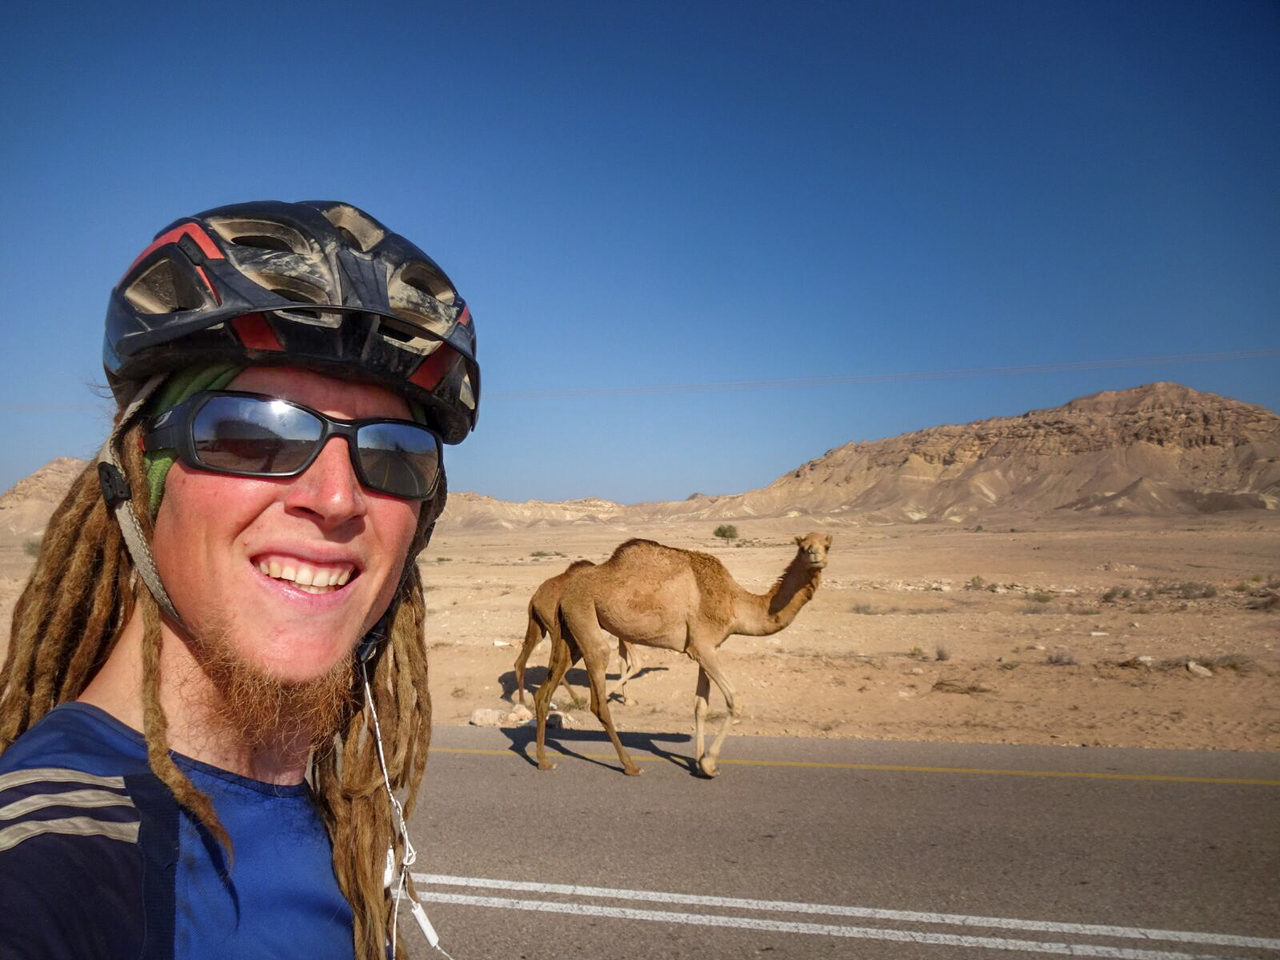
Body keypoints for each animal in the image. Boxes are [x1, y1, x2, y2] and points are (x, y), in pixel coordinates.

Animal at [514, 560, 645, 711]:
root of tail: (534, 599)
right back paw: (578, 699)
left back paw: (522, 701)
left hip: (538, 626)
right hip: (556, 628)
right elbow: (634, 662)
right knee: (553, 663)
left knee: (522, 660)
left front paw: (627, 700)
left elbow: (622, 661)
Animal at [535, 535, 834, 783]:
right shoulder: (704, 647)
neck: (734, 602)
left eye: (827, 544)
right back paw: (630, 766)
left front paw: (699, 762)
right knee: (598, 698)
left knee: (545, 691)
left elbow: (700, 706)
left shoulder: (703, 649)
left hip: (571, 635)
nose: (816, 556)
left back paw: (543, 761)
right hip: (584, 616)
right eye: (804, 546)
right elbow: (734, 700)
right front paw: (710, 764)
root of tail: (565, 591)